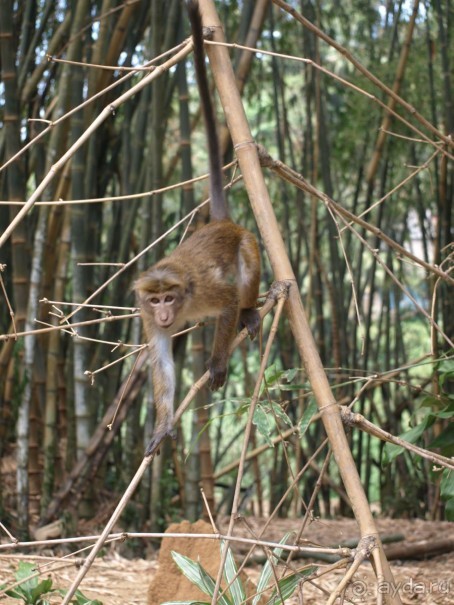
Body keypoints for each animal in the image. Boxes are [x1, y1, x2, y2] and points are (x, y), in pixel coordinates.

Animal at [134, 0, 258, 452]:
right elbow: (162, 361)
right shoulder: (146, 319)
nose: (165, 311)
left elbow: (226, 302)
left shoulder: (206, 293)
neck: (185, 304)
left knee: (247, 271)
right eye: (155, 301)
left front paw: (218, 363)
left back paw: (251, 312)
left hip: (247, 240)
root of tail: (219, 222)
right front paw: (162, 423)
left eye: (169, 297)